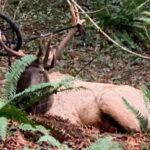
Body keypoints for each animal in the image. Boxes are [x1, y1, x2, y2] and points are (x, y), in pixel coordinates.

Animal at [0, 4, 150, 132]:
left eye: (42, 72)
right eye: (23, 73)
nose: (30, 93)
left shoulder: (68, 116)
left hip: (109, 99)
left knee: (136, 128)